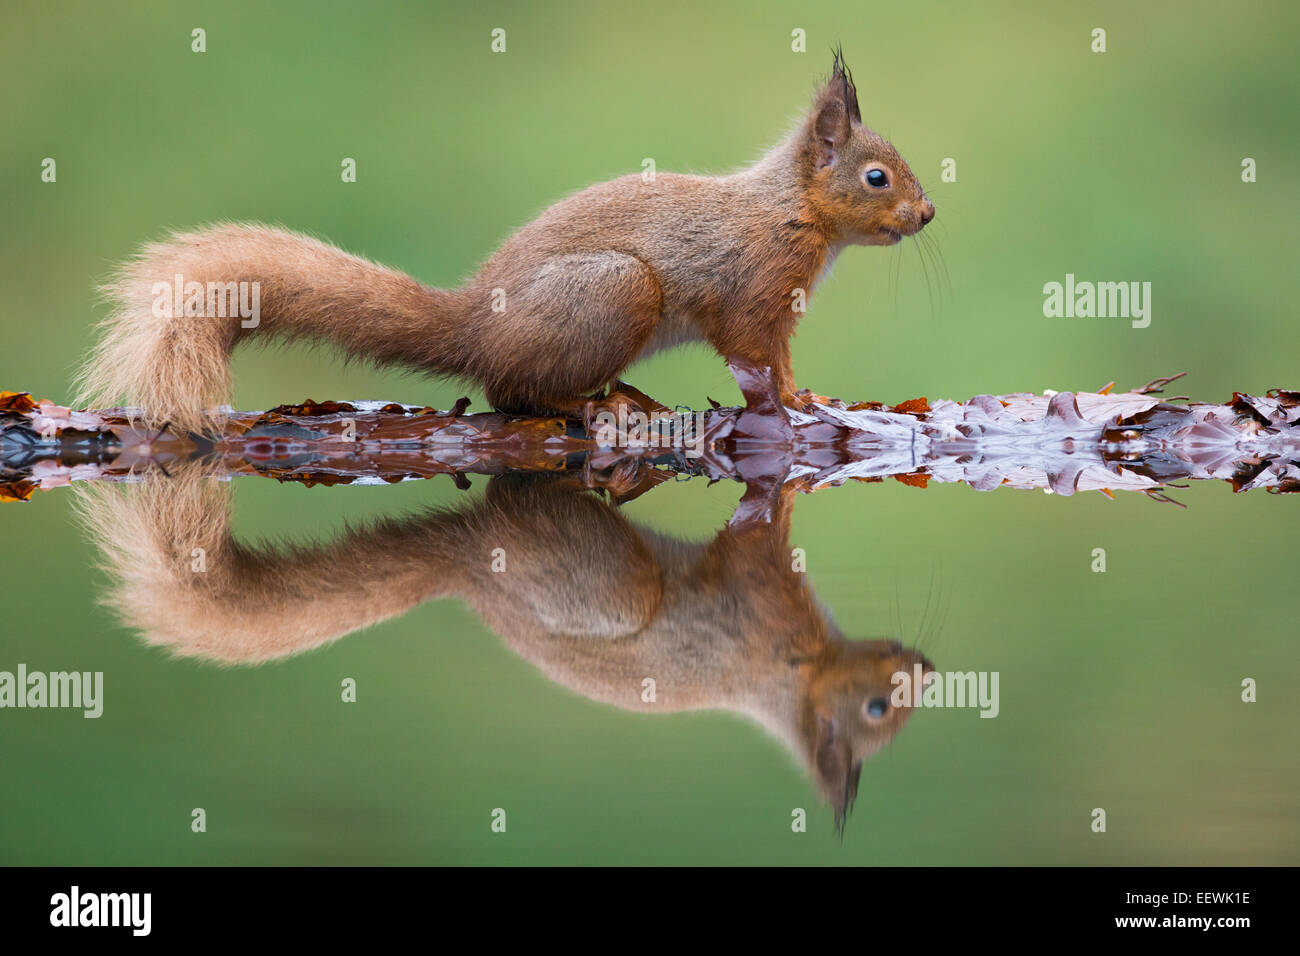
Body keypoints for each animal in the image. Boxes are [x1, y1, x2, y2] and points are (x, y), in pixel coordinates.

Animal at [76, 52, 933, 436]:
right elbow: (757, 361)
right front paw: (793, 404)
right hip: (615, 292)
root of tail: (474, 326)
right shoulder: (752, 296)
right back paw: (601, 400)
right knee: (512, 393)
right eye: (878, 177)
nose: (927, 214)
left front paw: (809, 396)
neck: (791, 212)